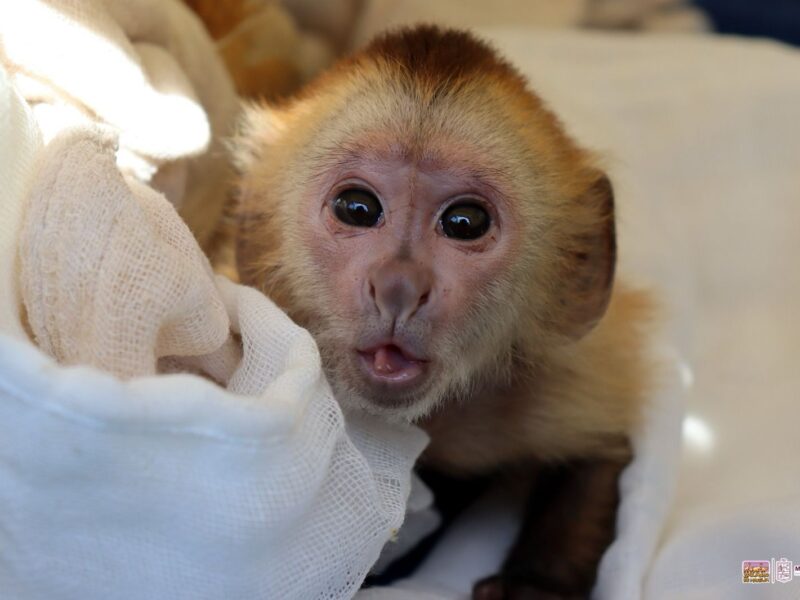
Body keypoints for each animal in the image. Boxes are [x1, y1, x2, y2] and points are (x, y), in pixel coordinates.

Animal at [233, 24, 656, 600]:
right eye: (357, 208)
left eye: (465, 222)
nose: (399, 286)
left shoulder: (553, 376)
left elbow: (602, 454)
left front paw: (534, 583)